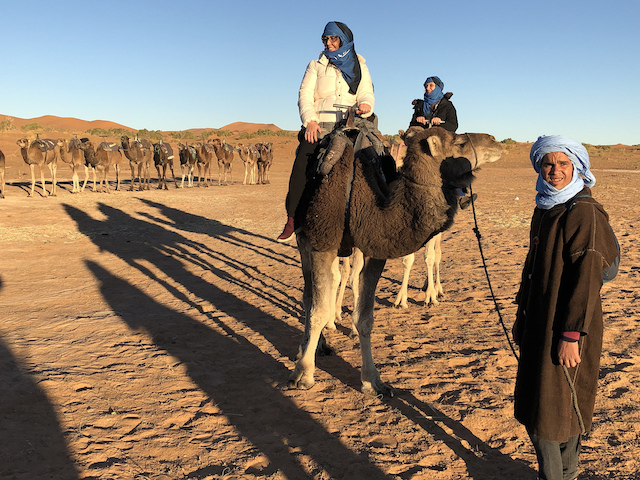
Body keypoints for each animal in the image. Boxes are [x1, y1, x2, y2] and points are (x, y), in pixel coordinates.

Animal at [288, 124, 502, 396]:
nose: (495, 141)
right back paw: (310, 347)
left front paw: (372, 381)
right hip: (304, 238)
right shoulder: (321, 243)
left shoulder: (374, 251)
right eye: (460, 143)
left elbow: (365, 318)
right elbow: (317, 310)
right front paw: (303, 374)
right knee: (310, 296)